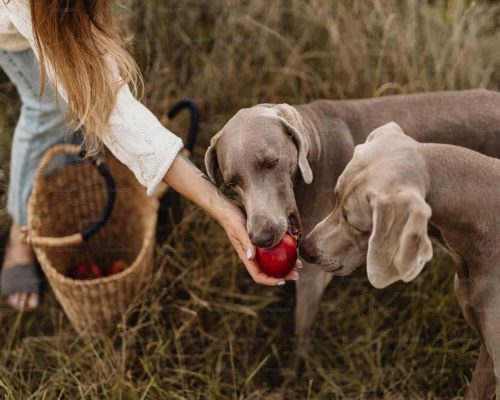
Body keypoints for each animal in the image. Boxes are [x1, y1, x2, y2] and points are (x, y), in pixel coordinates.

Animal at [202, 89, 500, 348]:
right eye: (231, 183)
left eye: (271, 163)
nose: (261, 238)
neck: (316, 150)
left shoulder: (312, 275)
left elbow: (301, 336)